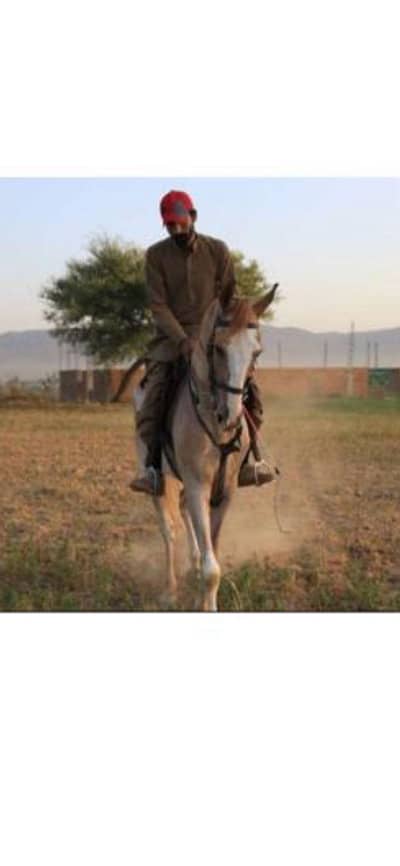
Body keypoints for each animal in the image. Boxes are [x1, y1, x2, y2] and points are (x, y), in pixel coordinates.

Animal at [132, 286, 277, 611]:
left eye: (257, 353)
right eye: (219, 349)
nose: (231, 416)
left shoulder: (225, 491)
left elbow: (214, 554)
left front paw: (202, 594)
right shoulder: (199, 485)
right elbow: (213, 569)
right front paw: (203, 602)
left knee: (185, 515)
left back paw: (193, 565)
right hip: (160, 480)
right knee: (169, 529)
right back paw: (170, 590)